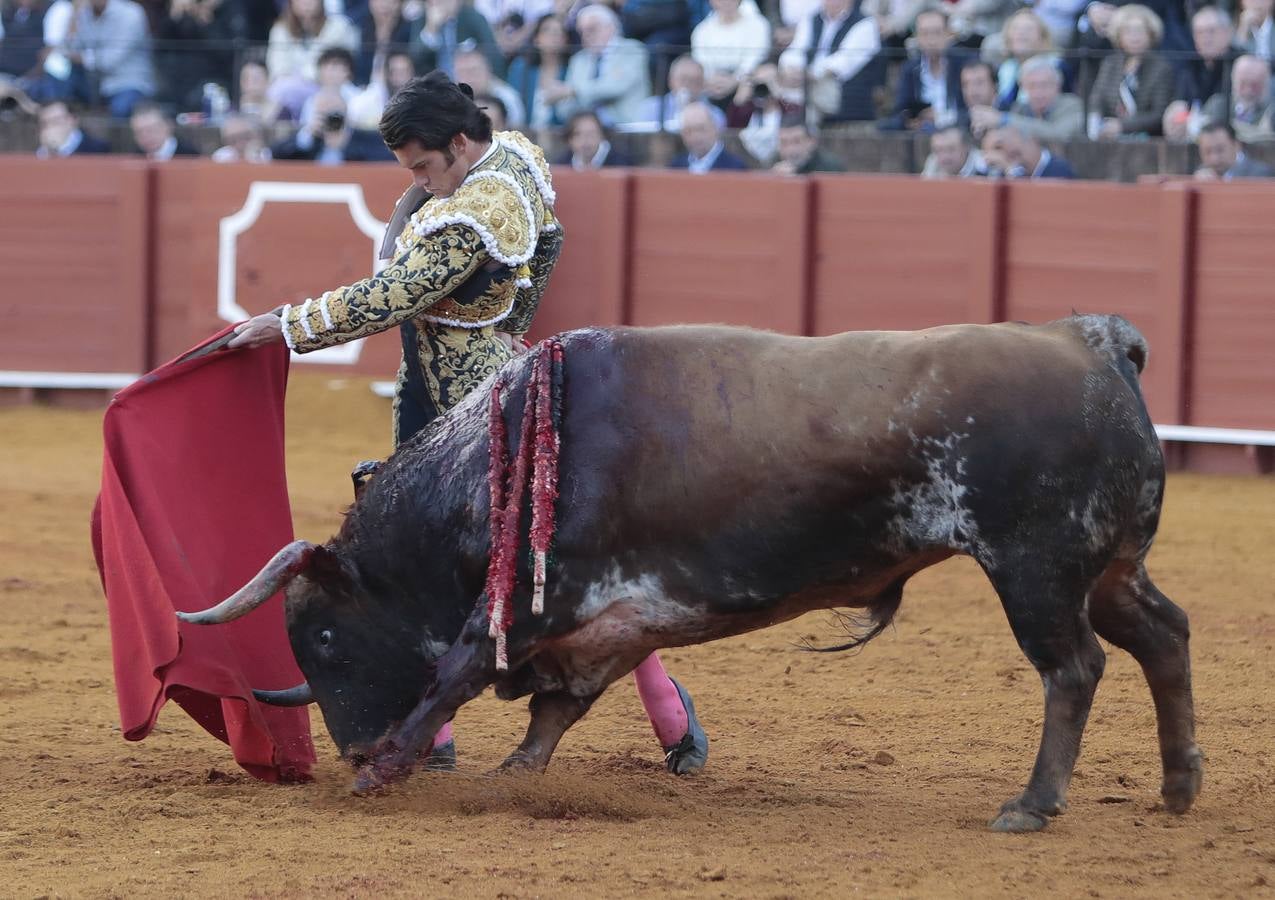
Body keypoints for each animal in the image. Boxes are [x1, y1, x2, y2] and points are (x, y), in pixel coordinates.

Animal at [177, 312, 1193, 831]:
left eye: (320, 633)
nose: (350, 747)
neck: (485, 468)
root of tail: (1092, 343)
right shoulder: (613, 620)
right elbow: (558, 705)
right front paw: (514, 774)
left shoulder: (537, 600)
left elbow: (458, 672)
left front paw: (387, 770)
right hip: (1109, 568)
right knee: (1162, 636)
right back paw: (1178, 785)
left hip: (1035, 566)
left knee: (1073, 668)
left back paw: (1031, 804)